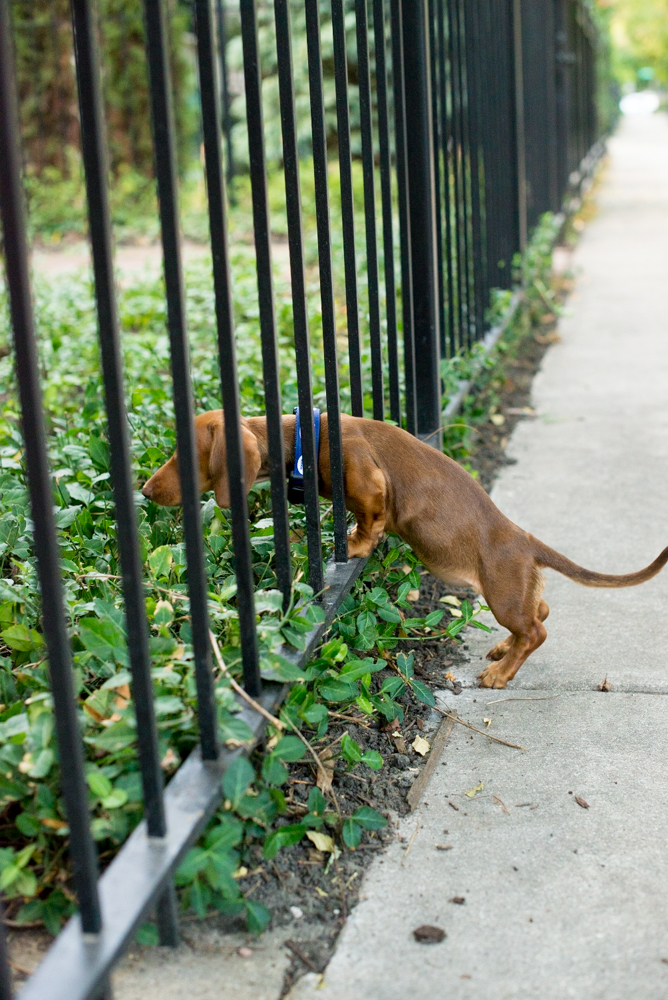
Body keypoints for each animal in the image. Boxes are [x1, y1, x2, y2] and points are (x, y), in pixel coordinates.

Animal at [142, 412, 668, 688]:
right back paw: (502, 650)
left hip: (501, 593)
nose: (145, 490)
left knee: (536, 629)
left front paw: (356, 542)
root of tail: (524, 539)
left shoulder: (366, 478)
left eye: (182, 455)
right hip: (515, 592)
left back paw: (501, 673)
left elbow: (368, 516)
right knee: (539, 612)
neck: (304, 440)